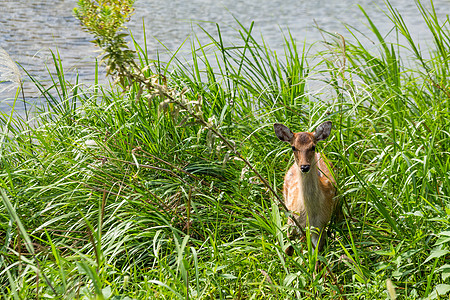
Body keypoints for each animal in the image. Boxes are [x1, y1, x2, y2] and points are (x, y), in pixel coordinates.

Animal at [272, 120, 336, 254]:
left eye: (313, 146)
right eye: (293, 147)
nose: (305, 167)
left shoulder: (321, 225)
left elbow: (317, 255)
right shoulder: (292, 220)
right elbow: (288, 250)